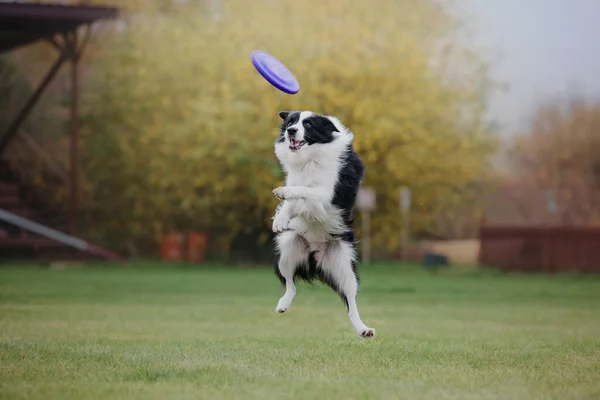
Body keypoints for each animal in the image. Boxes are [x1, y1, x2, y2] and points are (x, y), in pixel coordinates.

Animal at [272, 111, 376, 340]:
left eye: (308, 125)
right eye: (291, 122)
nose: (291, 131)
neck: (310, 156)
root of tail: (316, 256)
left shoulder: (327, 195)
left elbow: (304, 189)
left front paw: (283, 192)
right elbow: (292, 202)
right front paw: (280, 219)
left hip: (346, 266)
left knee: (351, 302)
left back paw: (363, 329)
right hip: (287, 246)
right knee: (290, 283)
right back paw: (283, 303)